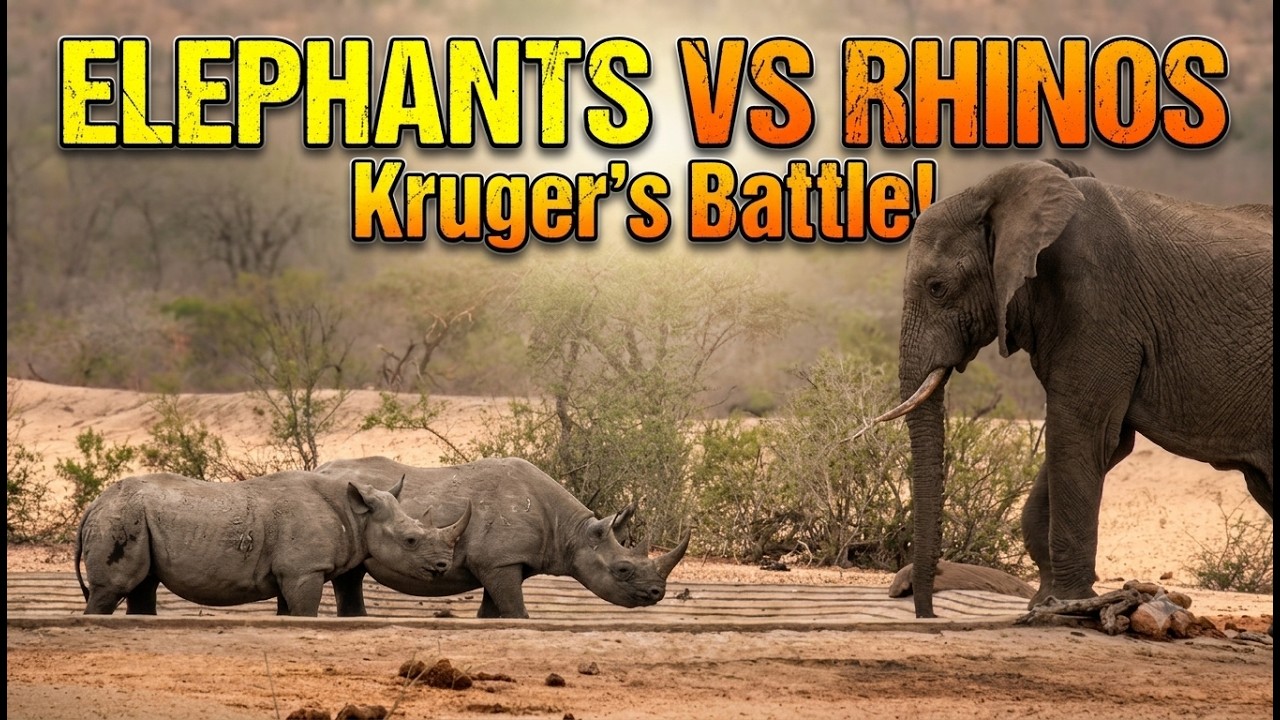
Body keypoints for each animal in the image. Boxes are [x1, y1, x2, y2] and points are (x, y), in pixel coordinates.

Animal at [75, 471, 472, 616]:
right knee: (114, 587)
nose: (442, 566)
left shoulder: (291, 572)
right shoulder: (304, 570)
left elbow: (288, 612)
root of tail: (94, 504)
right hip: (122, 516)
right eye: (411, 540)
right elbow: (305, 612)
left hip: (136, 519)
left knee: (143, 585)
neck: (356, 516)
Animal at [314, 456, 691, 618]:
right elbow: (517, 614)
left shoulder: (502, 564)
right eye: (624, 570)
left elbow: (492, 613)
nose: (657, 593)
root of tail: (319, 470)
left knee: (351, 576)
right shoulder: (500, 562)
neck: (572, 531)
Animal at [862, 159, 1273, 620]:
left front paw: (1069, 604)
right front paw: (1046, 602)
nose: (928, 614)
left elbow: (1080, 434)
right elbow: (1108, 441)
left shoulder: (1099, 302)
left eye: (937, 287)